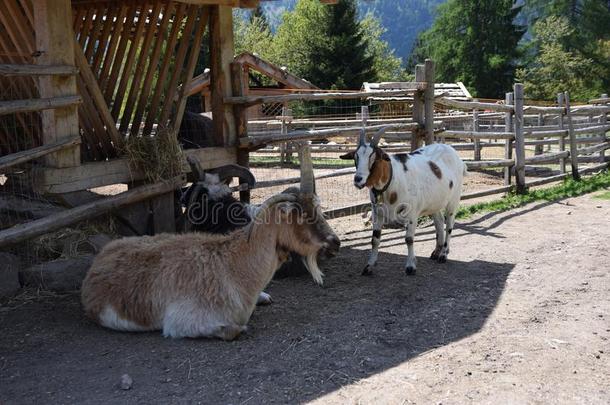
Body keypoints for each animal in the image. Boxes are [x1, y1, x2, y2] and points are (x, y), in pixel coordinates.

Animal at [338, 129, 466, 274]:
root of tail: (456, 156)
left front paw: (410, 266)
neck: (393, 180)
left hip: (453, 199)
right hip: (434, 202)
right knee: (439, 221)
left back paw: (443, 254)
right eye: (356, 157)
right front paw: (369, 266)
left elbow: (409, 239)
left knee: (449, 224)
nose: (358, 179)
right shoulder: (377, 213)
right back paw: (436, 252)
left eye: (373, 157)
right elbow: (375, 239)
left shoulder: (411, 214)